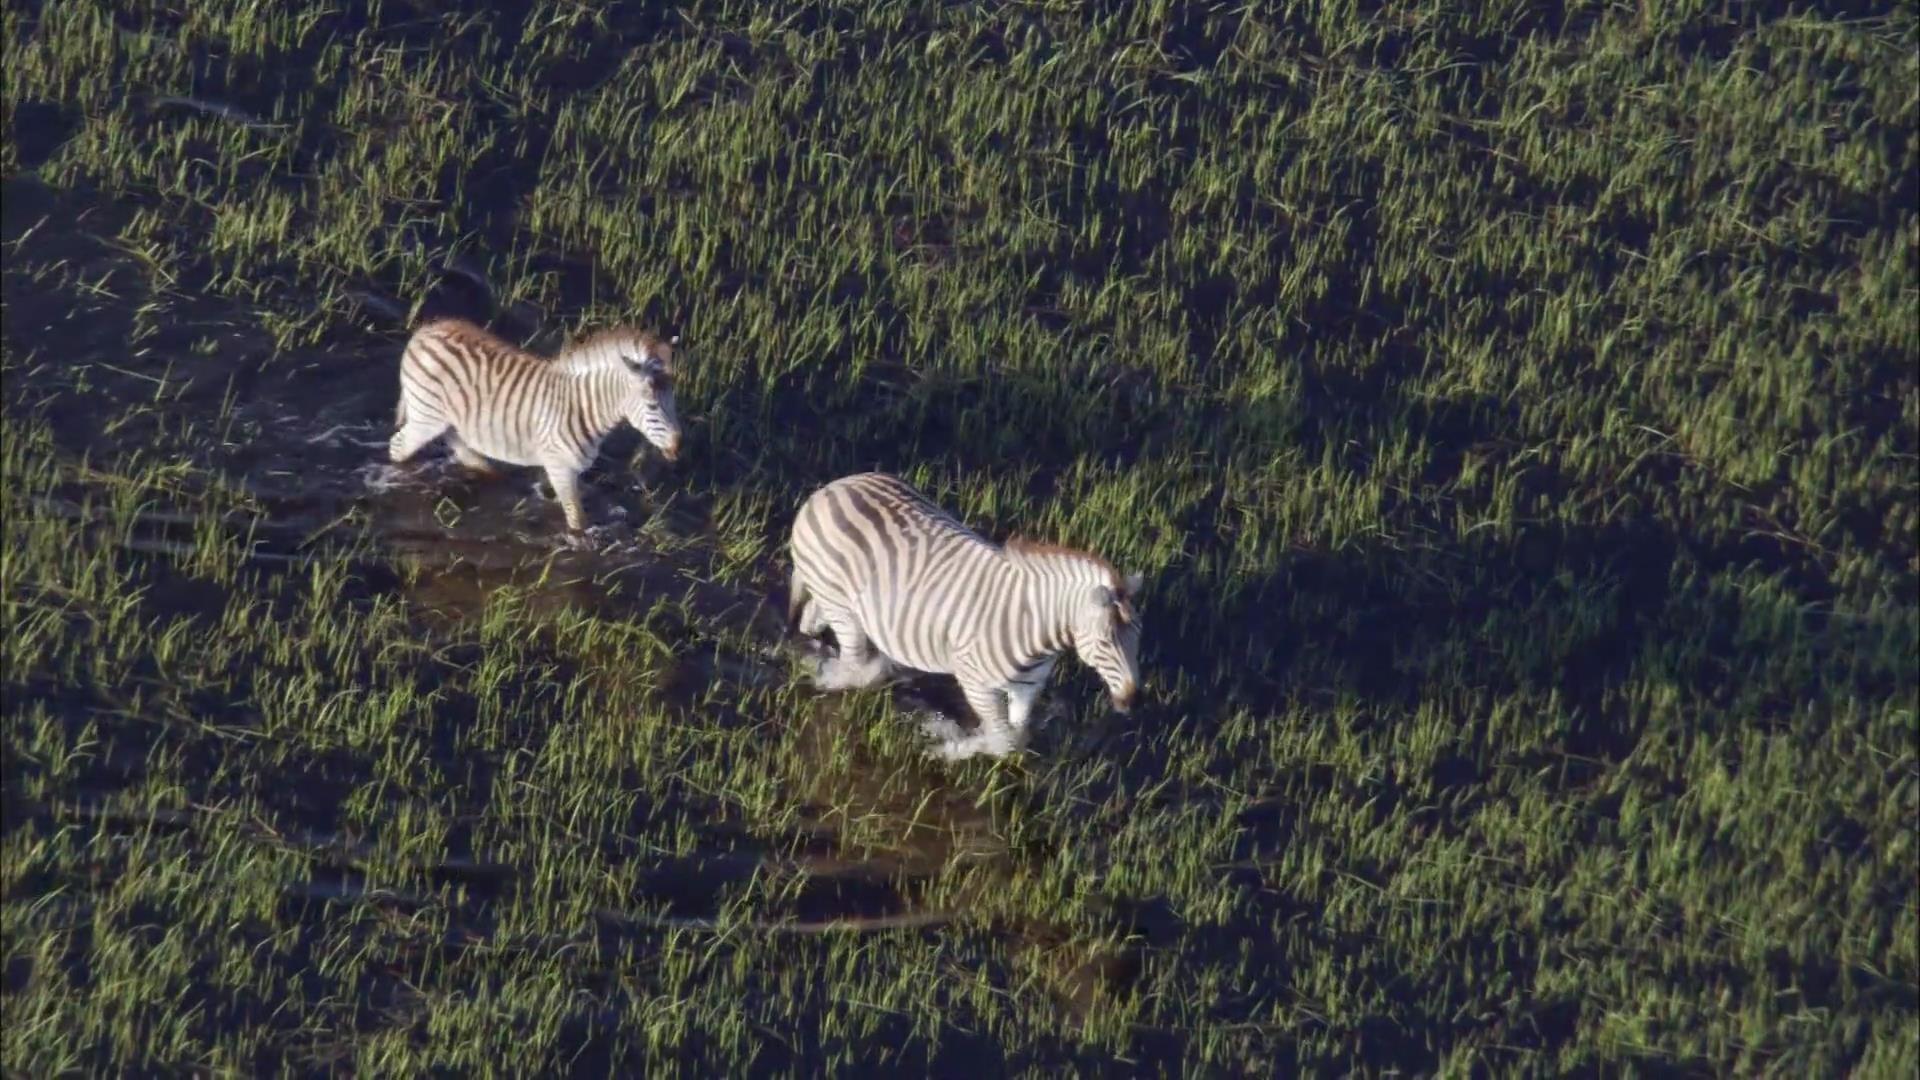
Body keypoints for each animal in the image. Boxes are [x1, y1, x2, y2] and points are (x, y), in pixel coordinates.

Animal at [387, 317, 683, 530]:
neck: (583, 407)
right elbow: (577, 521)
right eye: (652, 406)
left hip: (446, 419)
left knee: (455, 442)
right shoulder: (560, 466)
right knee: (398, 447)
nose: (678, 447)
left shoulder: (562, 467)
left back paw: (484, 469)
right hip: (426, 417)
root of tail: (426, 330)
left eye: (674, 402)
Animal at [791, 468, 1144, 757]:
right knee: (853, 665)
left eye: (1138, 638)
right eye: (1105, 642)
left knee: (812, 619)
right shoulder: (977, 684)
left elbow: (1018, 737)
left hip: (837, 599)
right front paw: (954, 749)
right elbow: (1002, 741)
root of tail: (832, 488)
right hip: (842, 607)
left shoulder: (1028, 688)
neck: (1034, 629)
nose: (1133, 700)